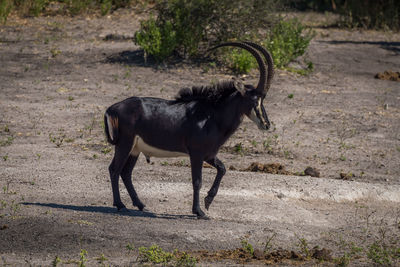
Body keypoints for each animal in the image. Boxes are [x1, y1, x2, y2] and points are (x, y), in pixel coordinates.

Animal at [104, 41, 274, 218]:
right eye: (254, 99)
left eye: (262, 99)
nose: (266, 124)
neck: (212, 115)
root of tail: (112, 109)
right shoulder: (196, 154)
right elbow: (197, 181)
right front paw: (199, 211)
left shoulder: (209, 154)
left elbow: (222, 169)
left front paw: (208, 201)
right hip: (125, 144)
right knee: (115, 170)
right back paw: (120, 205)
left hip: (135, 149)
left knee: (126, 173)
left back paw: (140, 204)